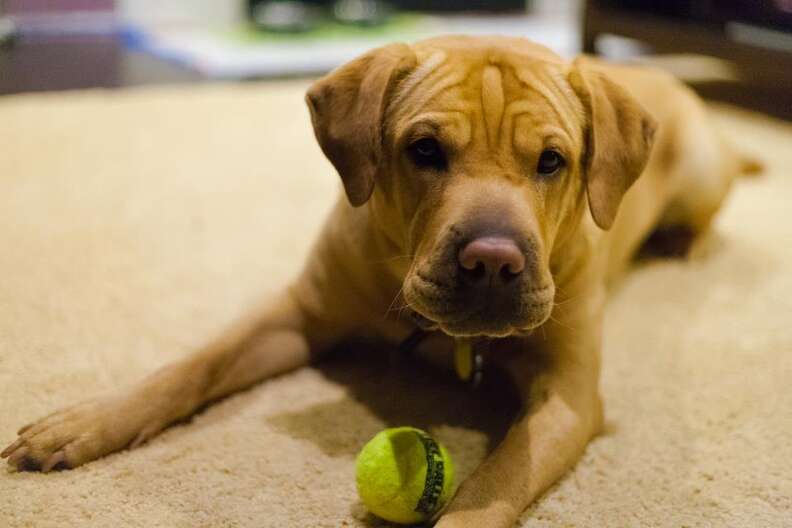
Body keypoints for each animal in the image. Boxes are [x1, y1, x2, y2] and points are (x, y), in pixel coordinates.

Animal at [1, 35, 756, 524]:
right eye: (424, 150)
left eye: (552, 161)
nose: (491, 262)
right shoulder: (297, 314)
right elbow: (191, 366)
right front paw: (86, 422)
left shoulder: (566, 395)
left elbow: (496, 482)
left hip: (700, 174)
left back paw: (683, 244)